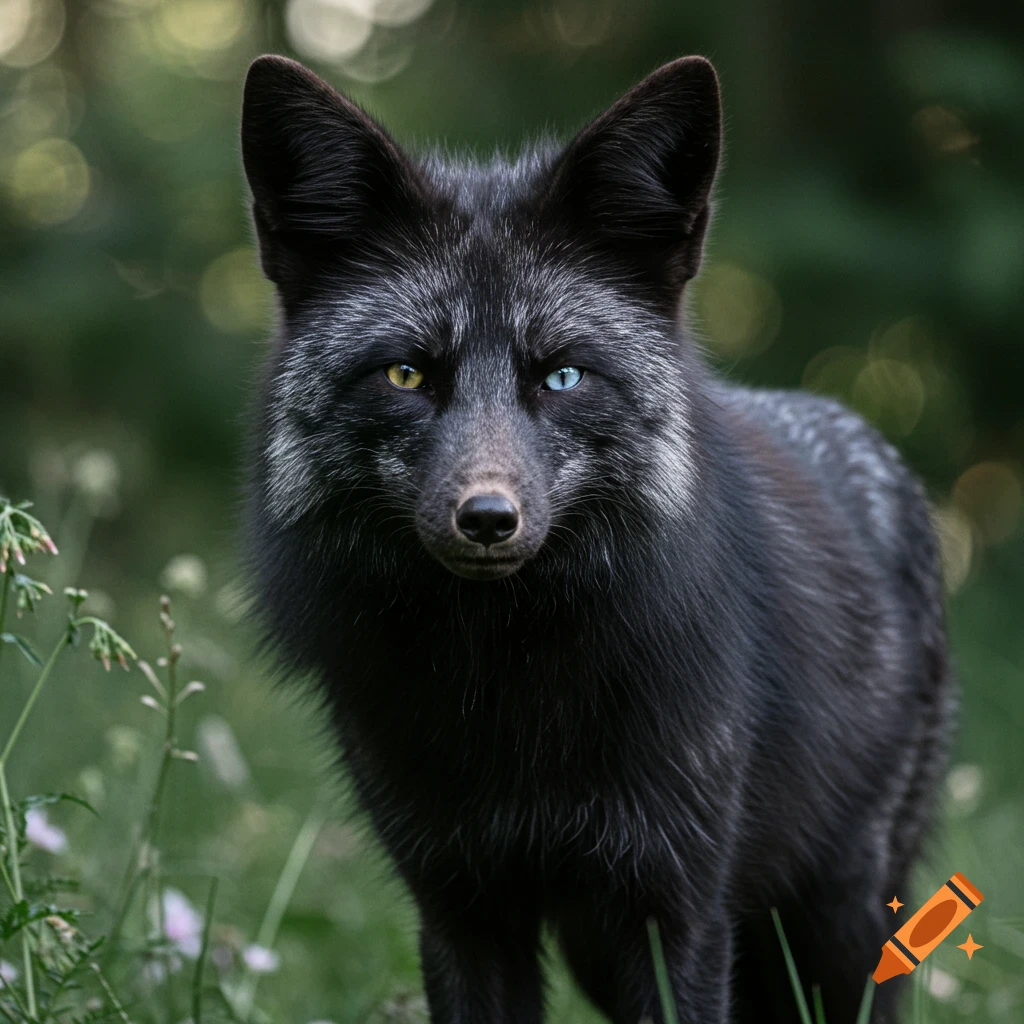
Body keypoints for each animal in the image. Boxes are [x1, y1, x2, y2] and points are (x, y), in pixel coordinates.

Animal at [240, 53, 955, 1024]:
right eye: (408, 375)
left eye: (564, 377)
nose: (488, 519)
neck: (509, 694)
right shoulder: (462, 908)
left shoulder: (674, 909)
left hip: (836, 929)